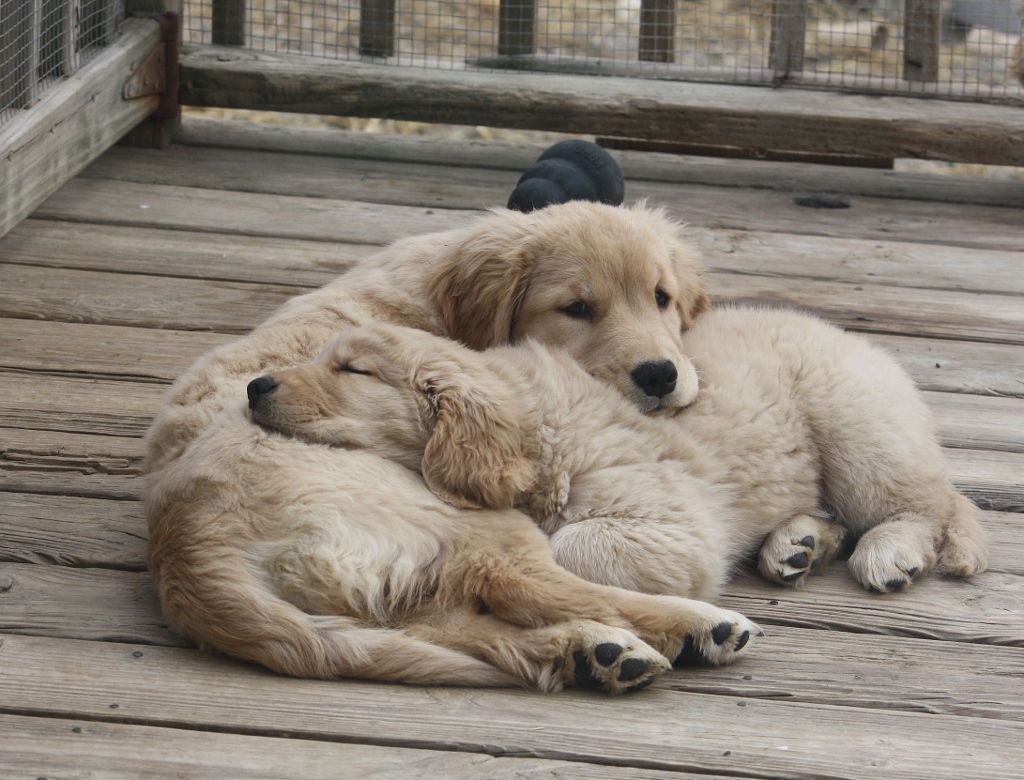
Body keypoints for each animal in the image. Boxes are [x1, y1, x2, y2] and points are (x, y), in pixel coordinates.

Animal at [245, 309, 983, 601]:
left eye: (351, 370)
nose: (255, 386)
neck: (532, 425)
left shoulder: (678, 527)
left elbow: (571, 541)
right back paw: (797, 544)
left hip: (856, 427)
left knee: (931, 504)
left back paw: (889, 550)